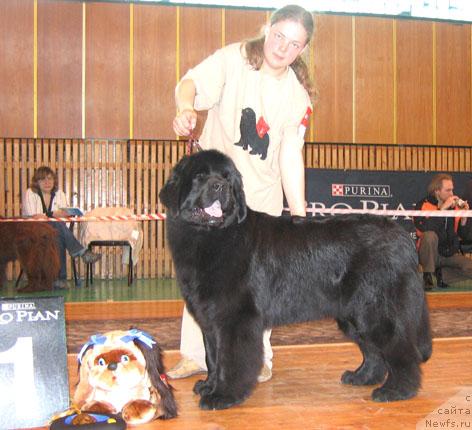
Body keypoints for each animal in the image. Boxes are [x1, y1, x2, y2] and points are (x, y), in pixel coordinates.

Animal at [159, 150, 432, 410]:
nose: (220, 186)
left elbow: (230, 359)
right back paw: (362, 377)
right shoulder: (210, 318)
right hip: (354, 314)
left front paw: (223, 396)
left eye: (227, 178)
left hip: (376, 310)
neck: (213, 235)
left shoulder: (235, 319)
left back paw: (397, 390)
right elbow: (213, 357)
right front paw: (208, 385)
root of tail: (402, 236)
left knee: (401, 349)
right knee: (373, 351)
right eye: (200, 176)